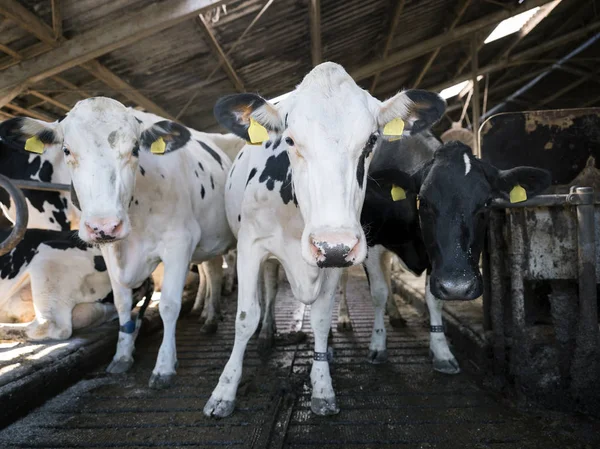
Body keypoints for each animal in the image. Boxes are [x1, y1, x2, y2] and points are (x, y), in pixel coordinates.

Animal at [203, 62, 446, 416]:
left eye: (372, 141)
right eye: (289, 140)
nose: (333, 244)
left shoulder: (335, 258)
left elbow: (319, 319)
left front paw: (322, 386)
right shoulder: (251, 247)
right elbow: (245, 317)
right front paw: (224, 391)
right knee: (269, 289)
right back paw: (267, 333)